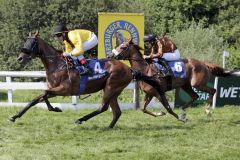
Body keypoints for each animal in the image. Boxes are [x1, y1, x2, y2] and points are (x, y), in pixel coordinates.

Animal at [7, 31, 165, 128]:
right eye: (25, 41)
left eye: (33, 42)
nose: (20, 58)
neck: (57, 64)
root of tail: (129, 68)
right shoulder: (55, 89)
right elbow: (37, 98)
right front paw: (15, 116)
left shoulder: (65, 89)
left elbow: (44, 94)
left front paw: (55, 108)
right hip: (113, 90)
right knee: (116, 111)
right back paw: (109, 127)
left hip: (111, 86)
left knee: (103, 107)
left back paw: (80, 119)